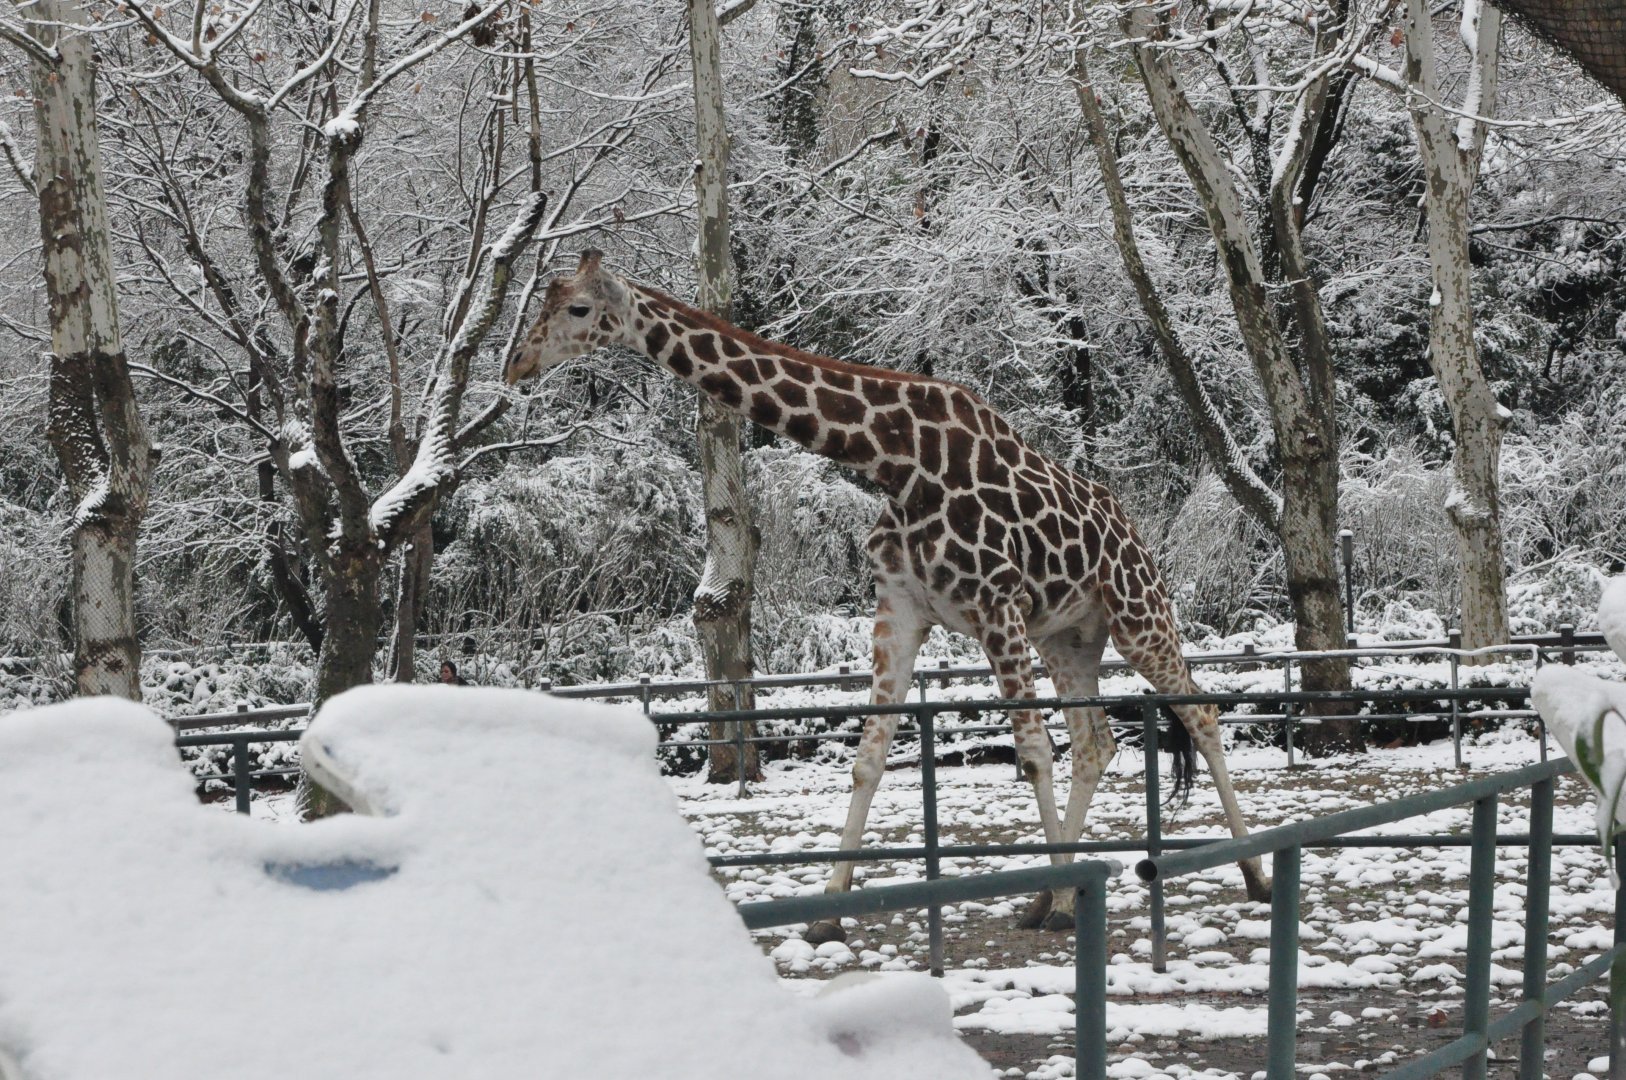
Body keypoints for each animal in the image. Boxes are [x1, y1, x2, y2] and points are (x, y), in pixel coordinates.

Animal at [505, 251, 1271, 936]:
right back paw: (1046, 898)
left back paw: (1253, 876)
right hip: (1068, 637)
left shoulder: (995, 605)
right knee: (1097, 743)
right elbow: (868, 758)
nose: (516, 366)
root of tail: (1134, 531)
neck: (896, 461)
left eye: (577, 309)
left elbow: (1030, 753)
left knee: (1200, 714)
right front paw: (828, 914)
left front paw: (1058, 900)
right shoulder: (901, 608)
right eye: (543, 300)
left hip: (1138, 613)